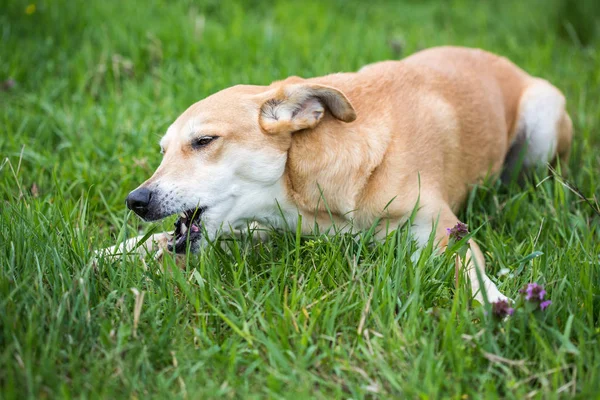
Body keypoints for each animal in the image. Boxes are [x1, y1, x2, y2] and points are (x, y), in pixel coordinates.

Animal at [101, 47, 576, 302]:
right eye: (163, 151)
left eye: (203, 141)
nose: (136, 201)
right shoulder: (266, 225)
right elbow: (157, 240)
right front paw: (113, 252)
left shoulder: (443, 231)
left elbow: (472, 273)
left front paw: (498, 307)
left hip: (542, 117)